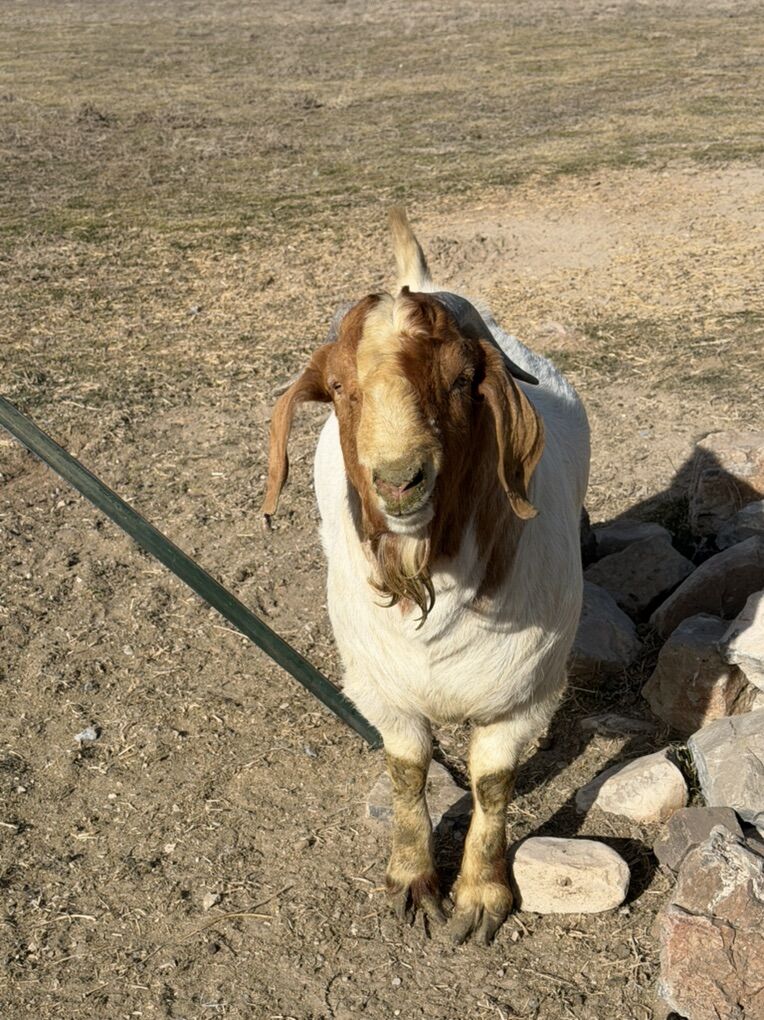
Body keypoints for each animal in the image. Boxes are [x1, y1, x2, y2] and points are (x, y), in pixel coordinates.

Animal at [262, 209, 590, 943]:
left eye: (464, 380)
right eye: (338, 389)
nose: (400, 479)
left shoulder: (524, 700)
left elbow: (492, 786)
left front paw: (481, 900)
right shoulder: (382, 694)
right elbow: (408, 776)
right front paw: (413, 884)